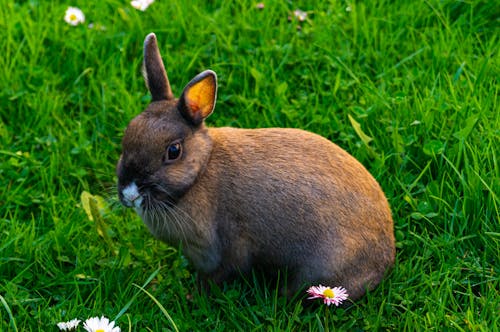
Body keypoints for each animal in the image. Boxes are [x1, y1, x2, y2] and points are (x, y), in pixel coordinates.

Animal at [117, 33, 394, 300]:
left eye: (173, 151)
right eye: (126, 135)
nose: (129, 194)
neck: (201, 171)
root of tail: (386, 256)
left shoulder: (228, 248)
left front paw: (194, 296)